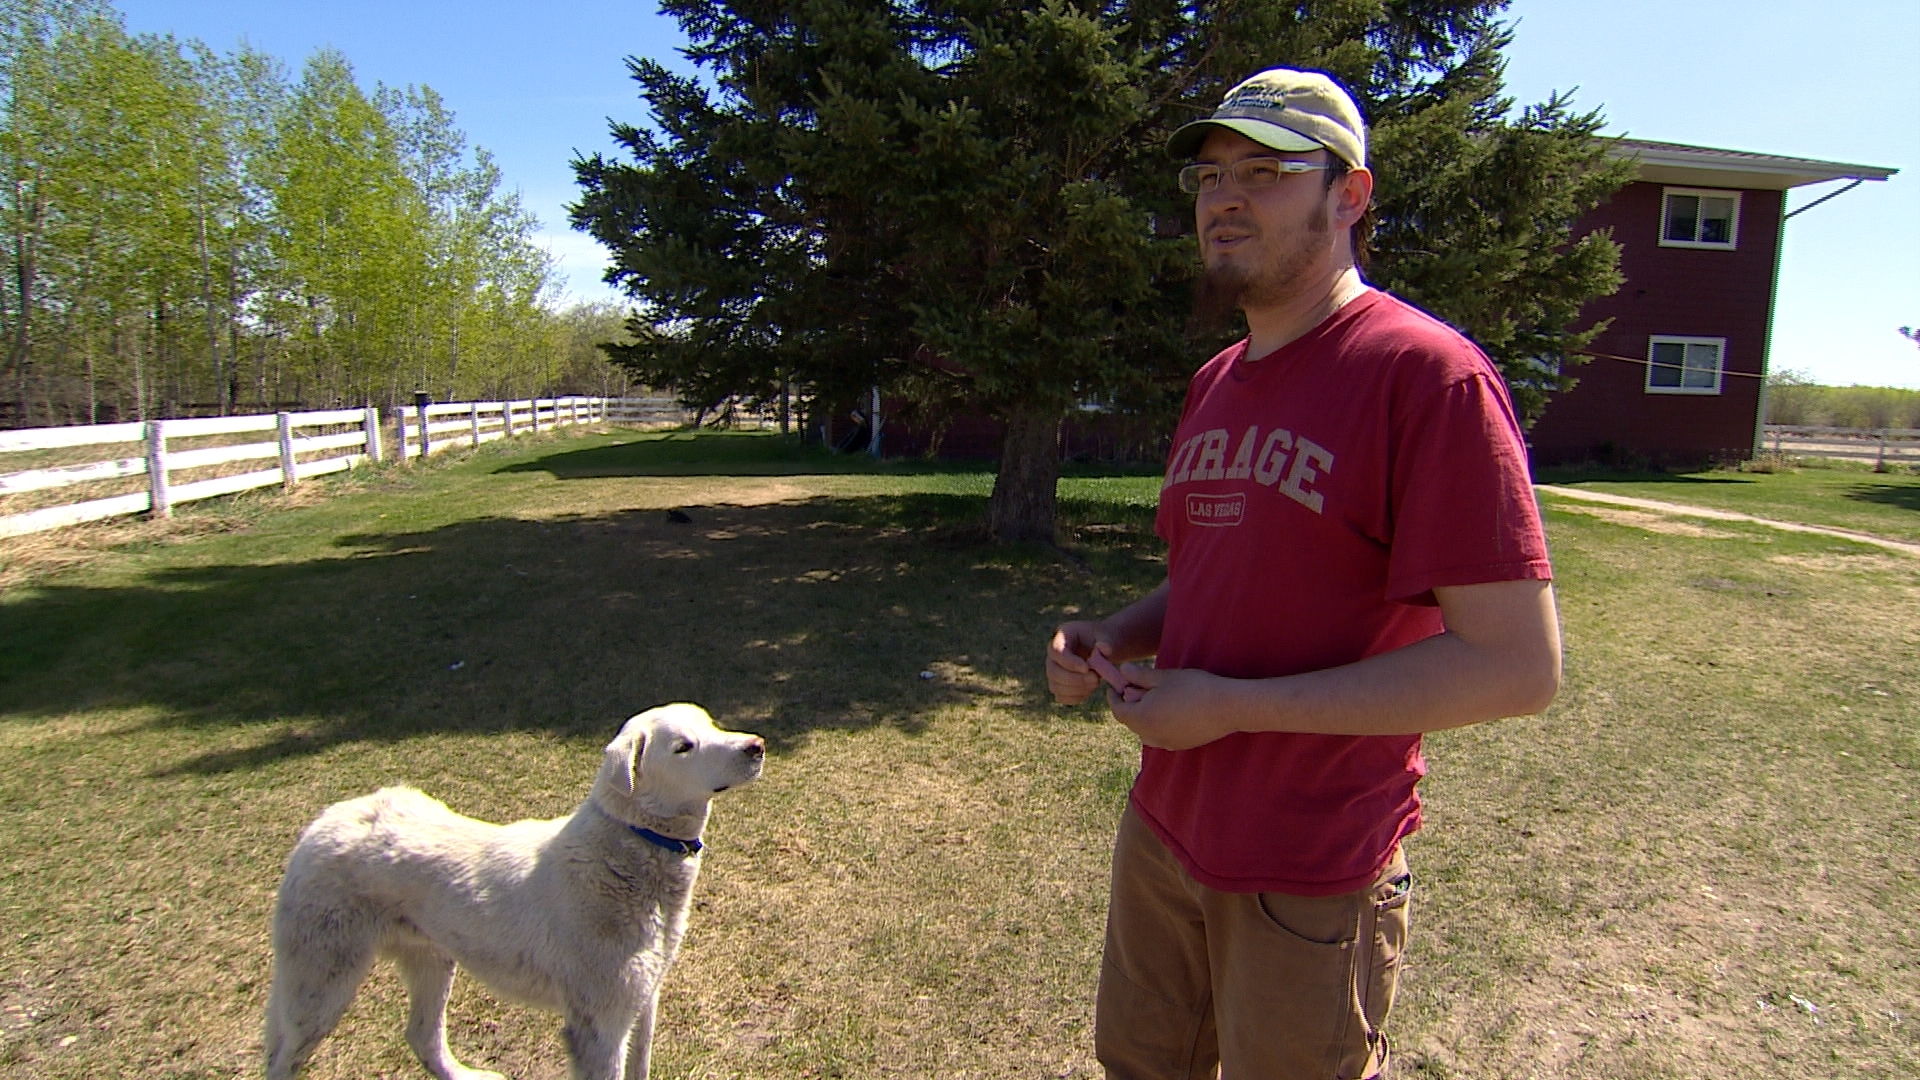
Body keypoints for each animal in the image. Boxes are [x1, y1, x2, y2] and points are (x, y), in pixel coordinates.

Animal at [264, 703, 771, 1068]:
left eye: (710, 723)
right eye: (684, 746)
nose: (757, 745)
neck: (630, 841)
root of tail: (327, 818)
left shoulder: (642, 1004)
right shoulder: (600, 1026)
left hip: (431, 957)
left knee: (422, 1037)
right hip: (321, 984)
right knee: (283, 1055)